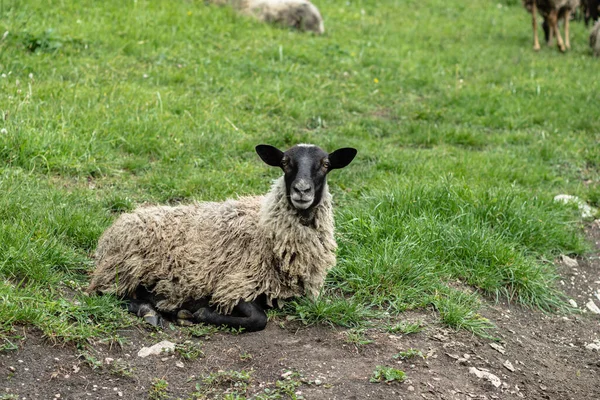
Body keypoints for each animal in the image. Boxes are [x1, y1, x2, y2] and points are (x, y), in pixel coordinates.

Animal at [87, 144, 358, 332]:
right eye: (284, 162)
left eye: (325, 164)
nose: (302, 190)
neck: (265, 227)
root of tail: (115, 227)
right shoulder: (234, 283)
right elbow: (258, 319)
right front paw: (198, 314)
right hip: (123, 270)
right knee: (105, 294)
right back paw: (149, 312)